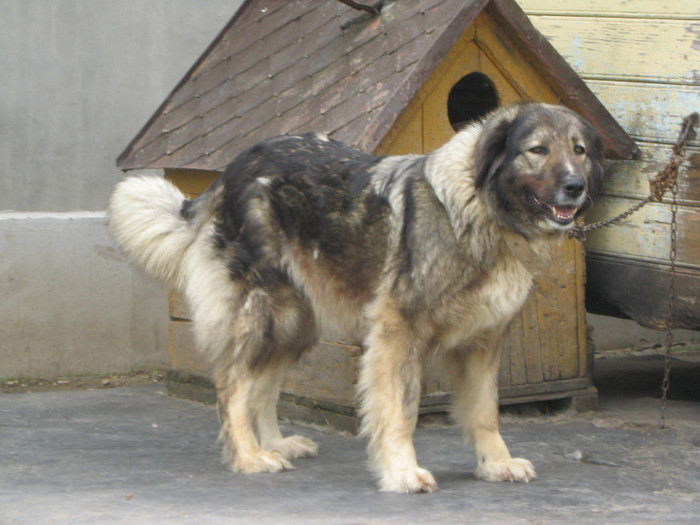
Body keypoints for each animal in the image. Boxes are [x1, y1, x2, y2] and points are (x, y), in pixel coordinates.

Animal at [108, 101, 600, 492]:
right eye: (537, 150)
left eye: (578, 150)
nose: (576, 187)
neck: (481, 211)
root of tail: (234, 169)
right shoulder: (399, 333)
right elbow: (400, 411)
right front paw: (401, 472)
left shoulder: (482, 339)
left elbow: (485, 411)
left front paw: (495, 464)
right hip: (267, 312)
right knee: (233, 384)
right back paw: (250, 456)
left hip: (296, 322)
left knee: (262, 388)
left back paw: (276, 443)